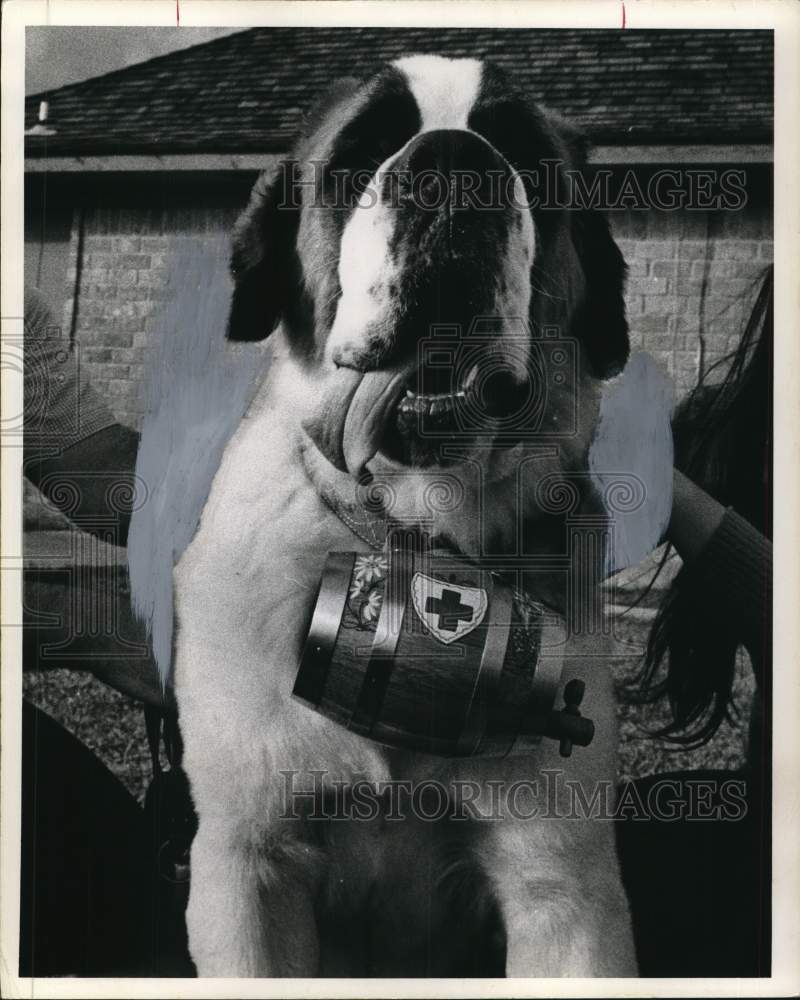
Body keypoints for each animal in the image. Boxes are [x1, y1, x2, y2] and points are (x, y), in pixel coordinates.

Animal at [173, 54, 636, 976]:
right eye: (361, 155)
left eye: (527, 158)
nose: (453, 166)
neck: (414, 530)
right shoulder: (249, 865)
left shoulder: (564, 891)